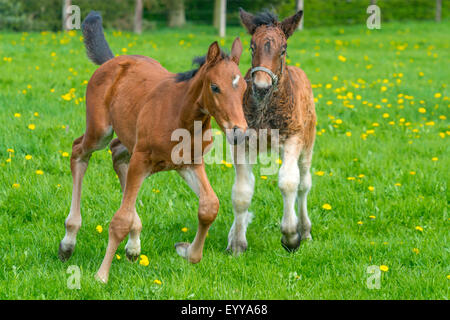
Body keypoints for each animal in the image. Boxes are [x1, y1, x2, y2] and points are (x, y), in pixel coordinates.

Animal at [58, 11, 248, 282]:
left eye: (243, 87)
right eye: (215, 87)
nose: (239, 132)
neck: (181, 115)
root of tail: (112, 61)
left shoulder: (189, 164)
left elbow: (209, 206)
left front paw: (188, 252)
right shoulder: (142, 160)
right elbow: (120, 219)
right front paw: (101, 275)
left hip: (129, 140)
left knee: (117, 153)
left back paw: (133, 246)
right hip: (100, 131)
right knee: (78, 151)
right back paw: (68, 241)